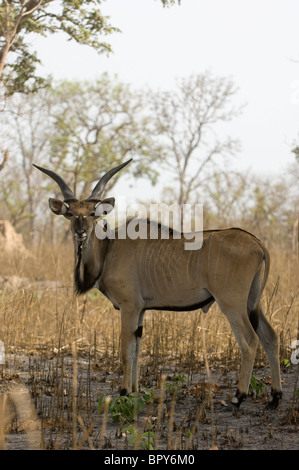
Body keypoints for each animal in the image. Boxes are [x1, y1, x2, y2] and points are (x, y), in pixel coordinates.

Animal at [34, 160, 282, 410]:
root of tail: (258, 244)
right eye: (71, 214)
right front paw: (134, 391)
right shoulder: (141, 310)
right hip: (252, 304)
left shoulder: (129, 307)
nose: (81, 233)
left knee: (249, 341)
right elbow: (136, 349)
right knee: (270, 337)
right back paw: (275, 397)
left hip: (232, 304)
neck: (109, 249)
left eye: (92, 214)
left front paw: (124, 393)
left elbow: (126, 351)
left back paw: (238, 397)